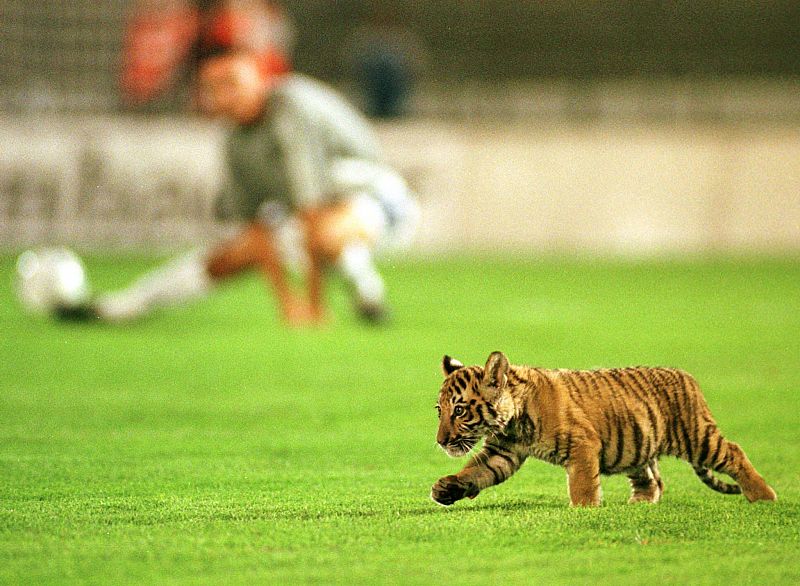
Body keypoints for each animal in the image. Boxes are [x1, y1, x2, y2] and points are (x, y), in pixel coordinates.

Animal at [431, 351, 777, 507]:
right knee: (652, 478)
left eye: (459, 410)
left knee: (734, 452)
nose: (441, 441)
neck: (512, 421)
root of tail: (686, 375)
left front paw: (584, 509)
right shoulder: (502, 452)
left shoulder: (582, 446)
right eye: (440, 410)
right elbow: (475, 471)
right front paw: (446, 488)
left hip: (697, 437)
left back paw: (763, 495)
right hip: (637, 444)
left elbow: (583, 484)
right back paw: (640, 503)